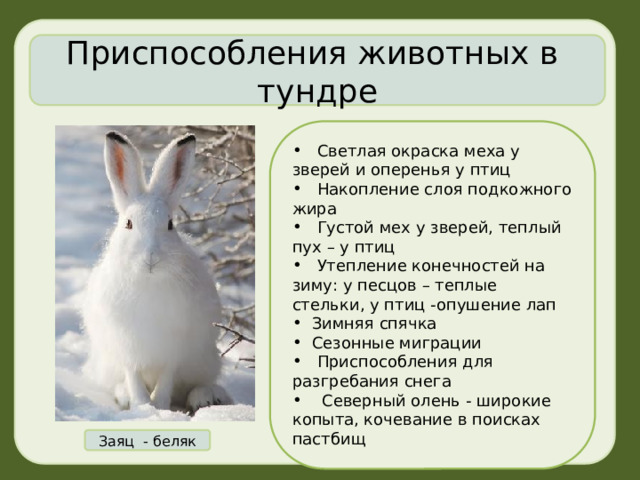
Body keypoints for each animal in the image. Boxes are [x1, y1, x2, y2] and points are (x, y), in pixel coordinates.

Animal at [82, 131, 229, 412]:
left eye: (170, 224)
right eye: (128, 224)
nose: (151, 257)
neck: (147, 281)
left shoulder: (173, 349)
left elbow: (166, 378)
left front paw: (158, 406)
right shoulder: (126, 348)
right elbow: (133, 376)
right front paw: (142, 406)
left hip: (205, 360)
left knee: (198, 384)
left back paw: (207, 397)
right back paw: (125, 397)